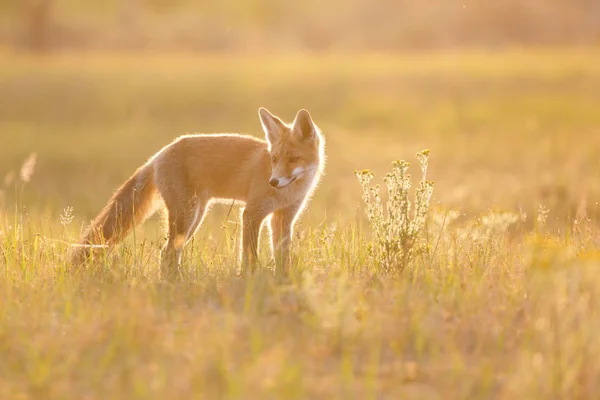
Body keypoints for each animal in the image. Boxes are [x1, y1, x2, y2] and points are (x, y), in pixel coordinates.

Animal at [72, 107, 326, 278]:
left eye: (293, 159)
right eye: (274, 159)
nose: (273, 181)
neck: (289, 192)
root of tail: (158, 154)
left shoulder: (283, 218)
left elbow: (282, 257)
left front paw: (283, 280)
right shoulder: (251, 214)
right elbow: (250, 256)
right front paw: (250, 280)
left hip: (194, 217)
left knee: (168, 253)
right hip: (187, 217)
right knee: (167, 253)